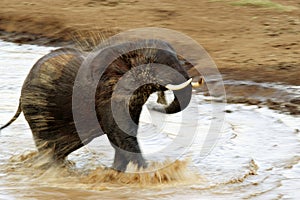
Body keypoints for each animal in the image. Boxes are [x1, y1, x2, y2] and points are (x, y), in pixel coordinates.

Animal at [0, 39, 202, 172]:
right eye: (155, 63)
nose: (154, 106)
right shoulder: (106, 92)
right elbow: (119, 133)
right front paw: (148, 172)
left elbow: (123, 133)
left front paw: (116, 173)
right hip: (38, 109)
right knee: (48, 146)